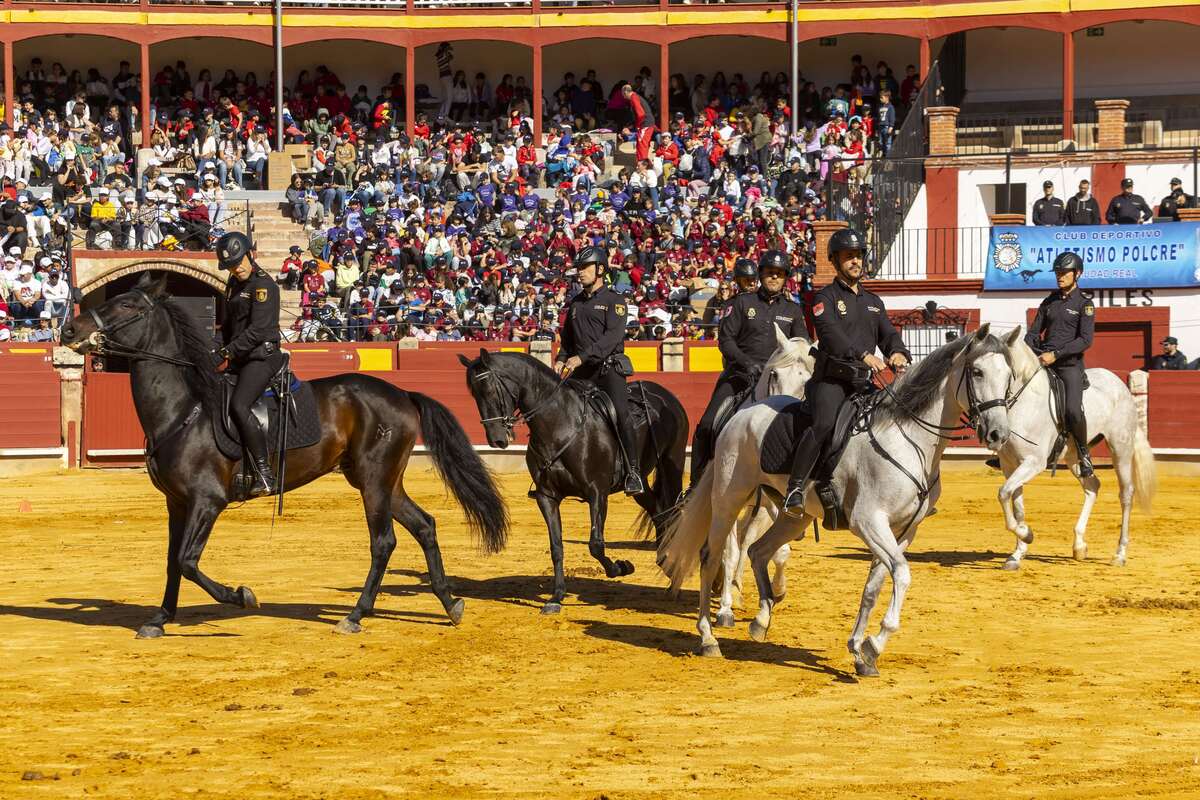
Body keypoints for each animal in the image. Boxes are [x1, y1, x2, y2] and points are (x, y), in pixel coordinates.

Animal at [60, 272, 506, 642]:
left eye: (127, 306)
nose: (68, 329)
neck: (184, 409)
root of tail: (402, 394)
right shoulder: (176, 503)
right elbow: (172, 561)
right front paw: (159, 620)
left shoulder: (208, 500)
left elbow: (188, 560)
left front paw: (242, 595)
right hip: (381, 481)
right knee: (425, 526)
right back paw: (450, 603)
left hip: (374, 481)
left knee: (383, 541)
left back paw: (355, 615)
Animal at [456, 350, 691, 614]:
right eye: (474, 394)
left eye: (490, 389)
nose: (497, 440)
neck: (559, 425)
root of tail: (666, 396)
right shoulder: (546, 497)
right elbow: (556, 546)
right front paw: (556, 596)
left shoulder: (597, 493)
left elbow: (595, 544)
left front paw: (621, 567)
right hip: (640, 485)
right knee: (658, 510)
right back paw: (665, 561)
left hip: (672, 463)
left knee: (672, 510)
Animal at [662, 326, 1017, 676]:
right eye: (977, 371)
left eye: (1009, 375)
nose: (999, 434)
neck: (909, 439)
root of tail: (741, 415)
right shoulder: (868, 521)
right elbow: (902, 574)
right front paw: (873, 645)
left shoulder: (903, 531)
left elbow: (874, 586)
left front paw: (860, 652)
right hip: (728, 499)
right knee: (713, 556)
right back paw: (709, 636)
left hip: (793, 515)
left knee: (759, 550)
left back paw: (761, 620)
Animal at [993, 326, 1152, 568]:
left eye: (1002, 370)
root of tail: (1119, 384)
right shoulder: (1009, 464)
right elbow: (1014, 500)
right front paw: (1018, 552)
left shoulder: (1034, 462)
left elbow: (1004, 493)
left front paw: (1026, 537)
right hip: (1073, 455)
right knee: (1093, 485)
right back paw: (1079, 545)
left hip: (1120, 448)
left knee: (1126, 493)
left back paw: (1120, 553)